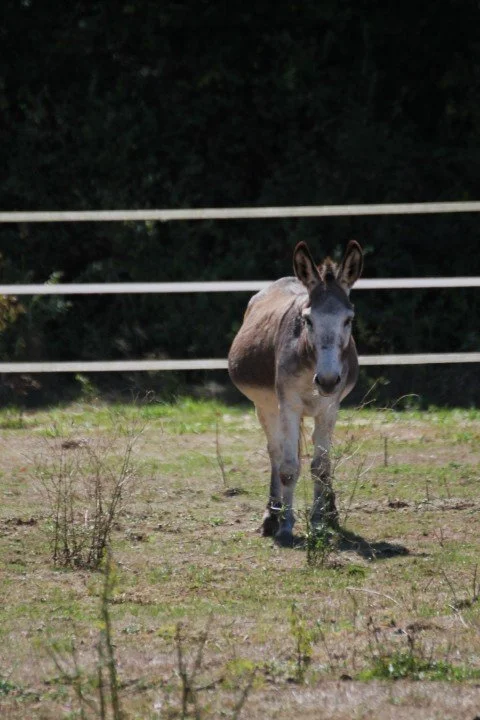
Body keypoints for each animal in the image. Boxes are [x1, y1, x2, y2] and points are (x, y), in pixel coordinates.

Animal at [228, 240, 363, 546]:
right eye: (308, 320)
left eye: (349, 320)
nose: (327, 381)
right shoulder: (287, 404)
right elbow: (289, 467)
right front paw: (287, 526)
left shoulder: (330, 407)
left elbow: (321, 466)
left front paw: (318, 522)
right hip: (266, 406)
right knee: (276, 452)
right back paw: (271, 516)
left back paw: (330, 512)